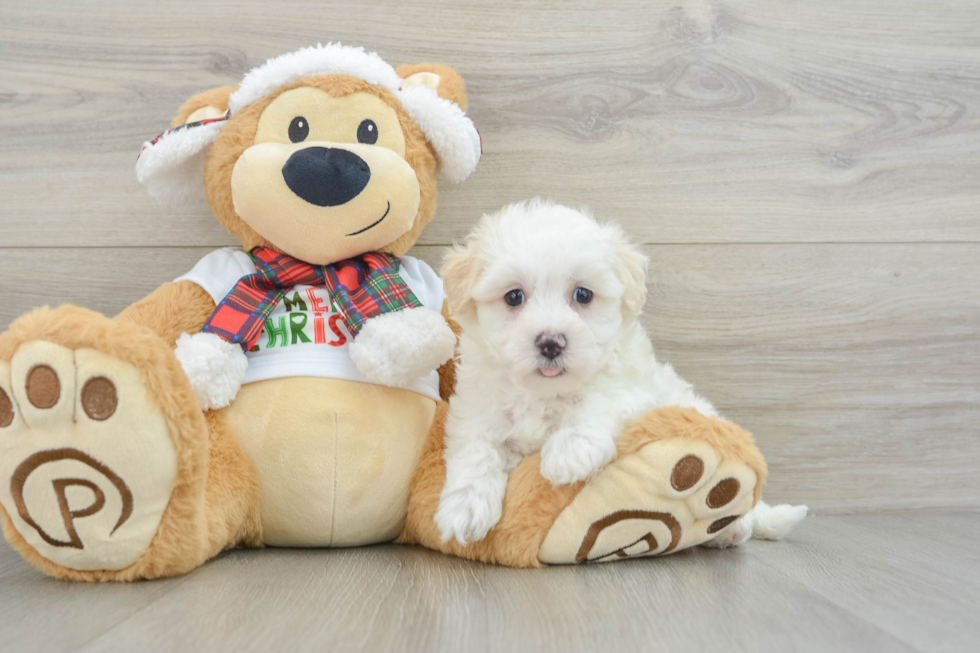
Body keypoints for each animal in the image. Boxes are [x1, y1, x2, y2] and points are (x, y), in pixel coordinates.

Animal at [436, 199, 804, 544]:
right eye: (513, 297)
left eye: (583, 294)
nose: (551, 343)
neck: (545, 394)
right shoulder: (477, 412)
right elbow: (476, 451)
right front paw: (464, 508)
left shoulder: (634, 389)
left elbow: (601, 401)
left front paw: (569, 450)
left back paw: (733, 528)